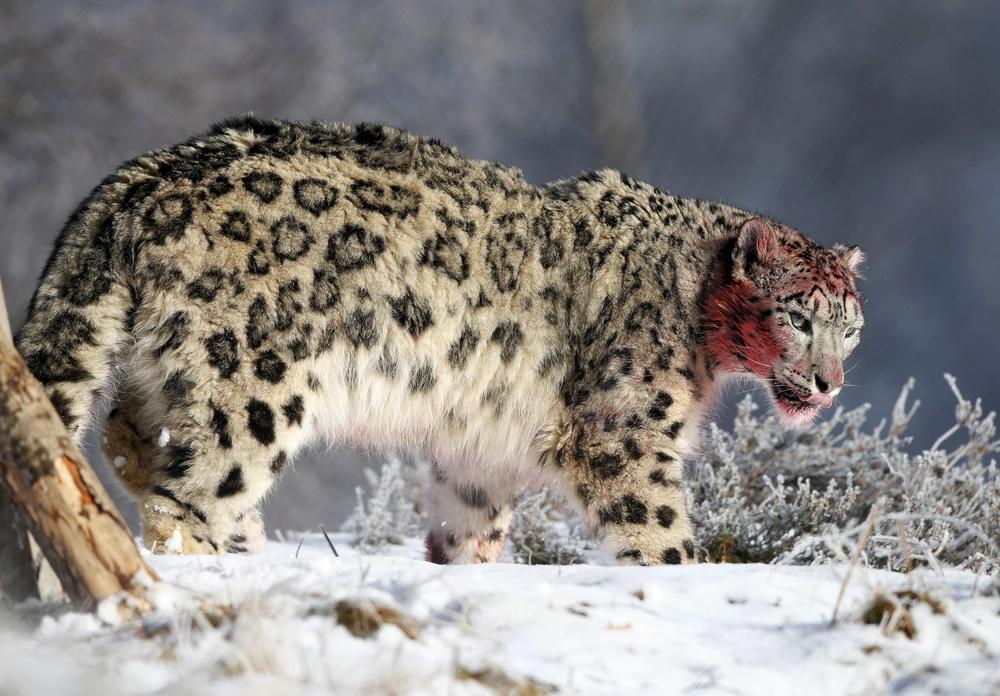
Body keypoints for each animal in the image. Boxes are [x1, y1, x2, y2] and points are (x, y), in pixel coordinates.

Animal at [15, 116, 865, 563]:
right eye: (798, 317)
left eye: (850, 328)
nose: (830, 382)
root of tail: (147, 177)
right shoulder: (624, 433)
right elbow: (657, 529)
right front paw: (680, 575)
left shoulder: (482, 454)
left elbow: (470, 528)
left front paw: (467, 567)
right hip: (252, 395)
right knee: (181, 499)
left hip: (170, 373)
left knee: (128, 433)